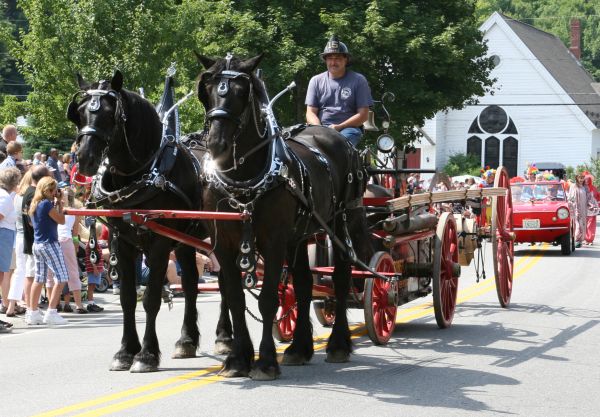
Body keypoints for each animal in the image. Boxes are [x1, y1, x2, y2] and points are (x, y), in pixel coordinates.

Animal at [64, 70, 226, 370]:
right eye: (79, 112)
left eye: (110, 114)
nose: (85, 158)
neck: (144, 172)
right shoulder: (122, 242)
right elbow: (128, 298)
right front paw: (125, 351)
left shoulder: (160, 242)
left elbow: (150, 299)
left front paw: (147, 354)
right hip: (186, 241)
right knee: (191, 283)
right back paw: (187, 340)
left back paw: (225, 337)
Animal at [195, 53, 370, 378]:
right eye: (208, 88)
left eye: (242, 92)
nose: (216, 144)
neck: (243, 177)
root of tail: (336, 136)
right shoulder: (224, 243)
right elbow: (235, 298)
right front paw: (238, 359)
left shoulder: (273, 241)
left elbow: (267, 299)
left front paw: (264, 361)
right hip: (298, 237)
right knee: (303, 285)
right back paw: (299, 348)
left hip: (342, 224)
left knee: (341, 280)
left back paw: (338, 344)